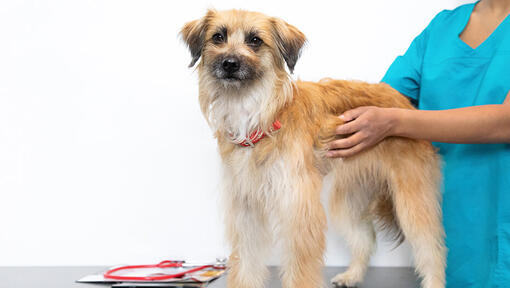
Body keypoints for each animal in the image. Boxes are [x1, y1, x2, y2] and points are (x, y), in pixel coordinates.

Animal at [181, 9, 444, 288]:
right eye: (218, 37)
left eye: (254, 40)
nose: (229, 63)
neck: (259, 114)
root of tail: (403, 102)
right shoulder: (246, 208)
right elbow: (246, 264)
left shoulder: (297, 207)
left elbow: (300, 268)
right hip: (349, 197)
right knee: (366, 238)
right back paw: (352, 275)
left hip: (411, 200)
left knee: (432, 249)